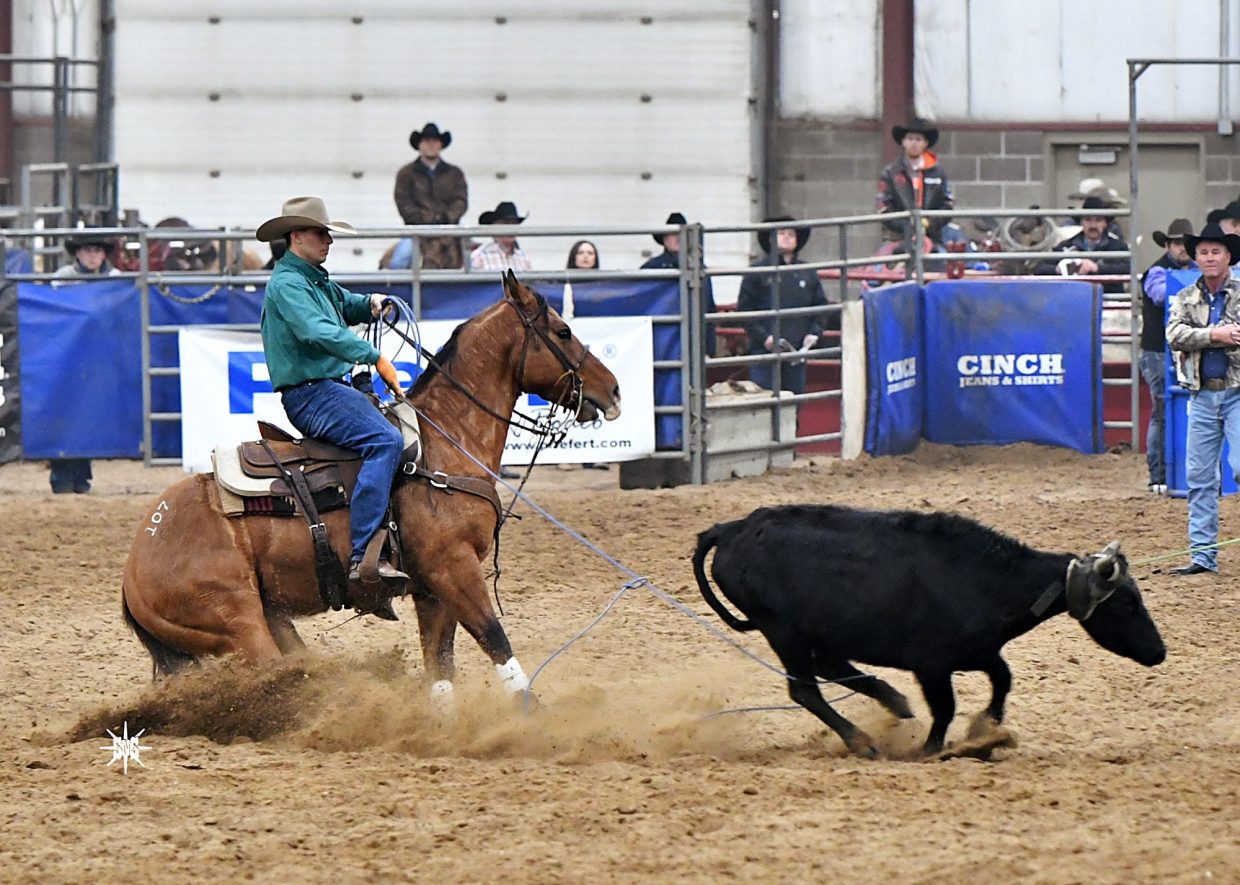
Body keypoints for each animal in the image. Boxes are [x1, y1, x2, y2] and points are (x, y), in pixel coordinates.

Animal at [120, 270, 622, 707]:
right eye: (562, 332)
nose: (614, 391)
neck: (442, 444)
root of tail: (137, 560)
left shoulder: (432, 588)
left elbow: (441, 666)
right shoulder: (454, 567)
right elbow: (495, 638)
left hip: (273, 617)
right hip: (239, 622)